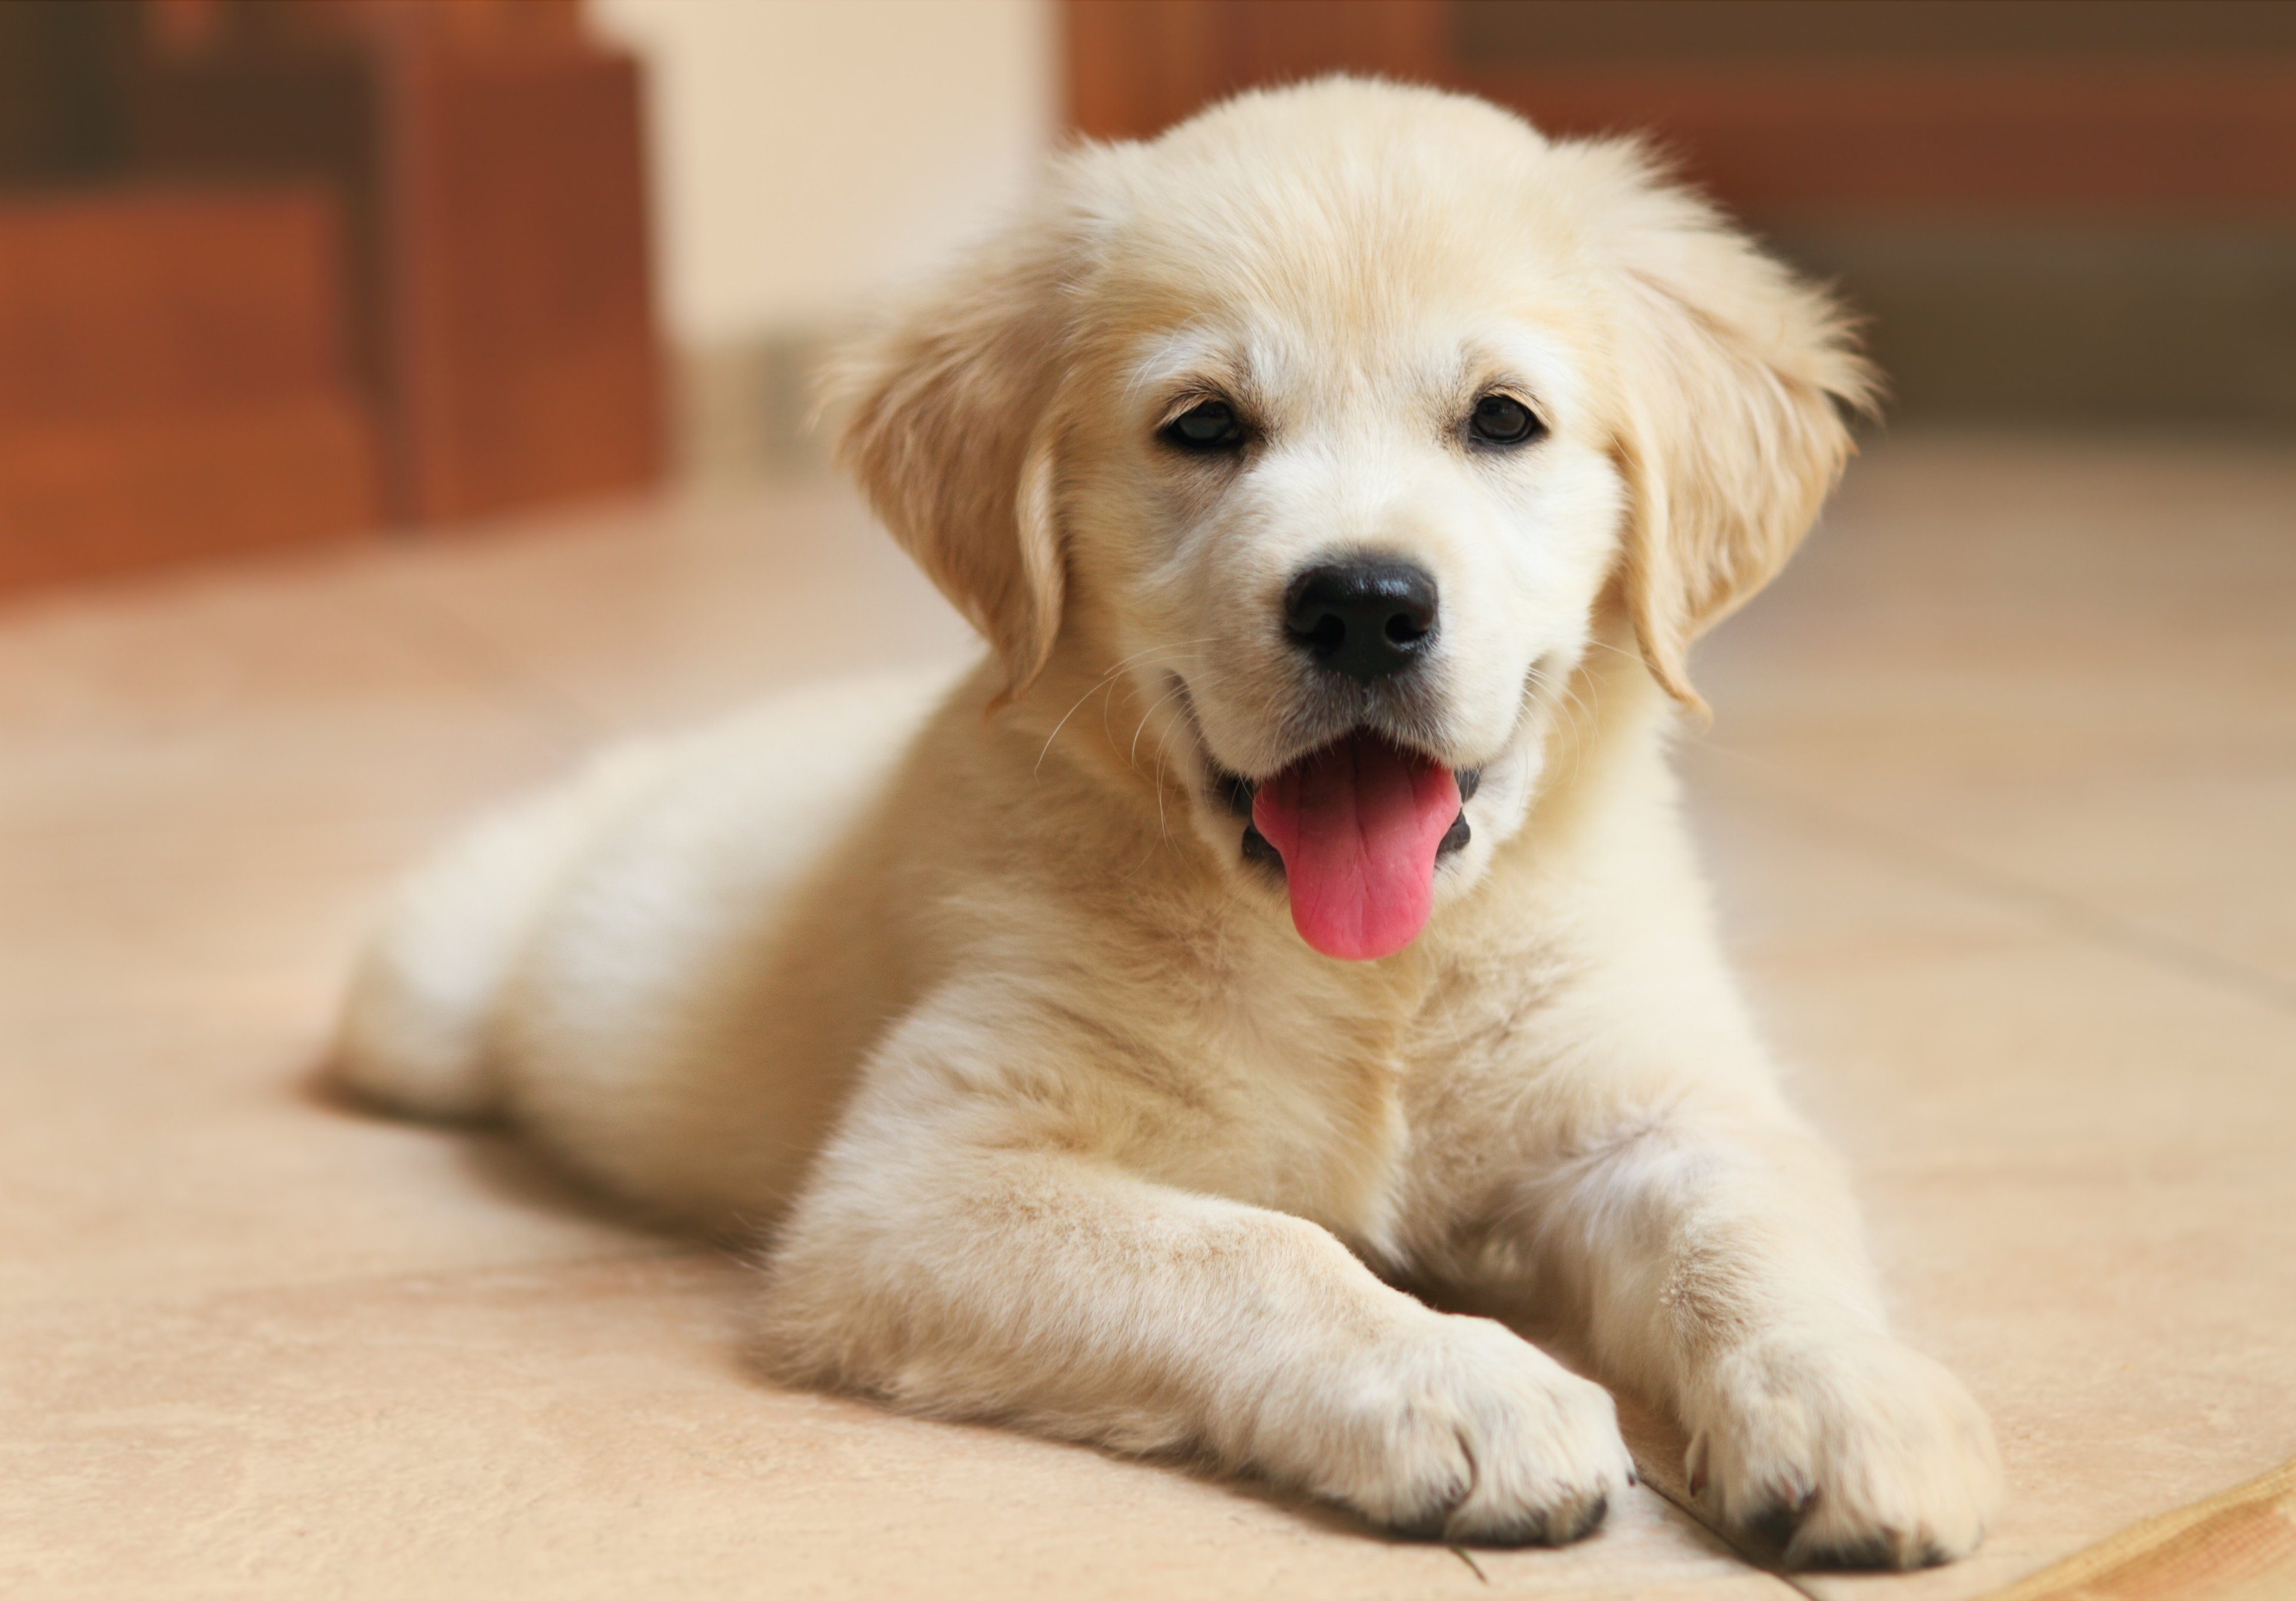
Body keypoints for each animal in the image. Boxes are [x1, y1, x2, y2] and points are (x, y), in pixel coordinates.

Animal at [333, 81, 2002, 1571]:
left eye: (1502, 421)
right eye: (1205, 426)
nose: (1364, 602)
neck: (1372, 972)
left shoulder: (1659, 1103)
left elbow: (1754, 1223)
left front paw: (1855, 1397)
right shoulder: (917, 1185)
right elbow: (1258, 1247)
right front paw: (1466, 1384)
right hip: (429, 993)